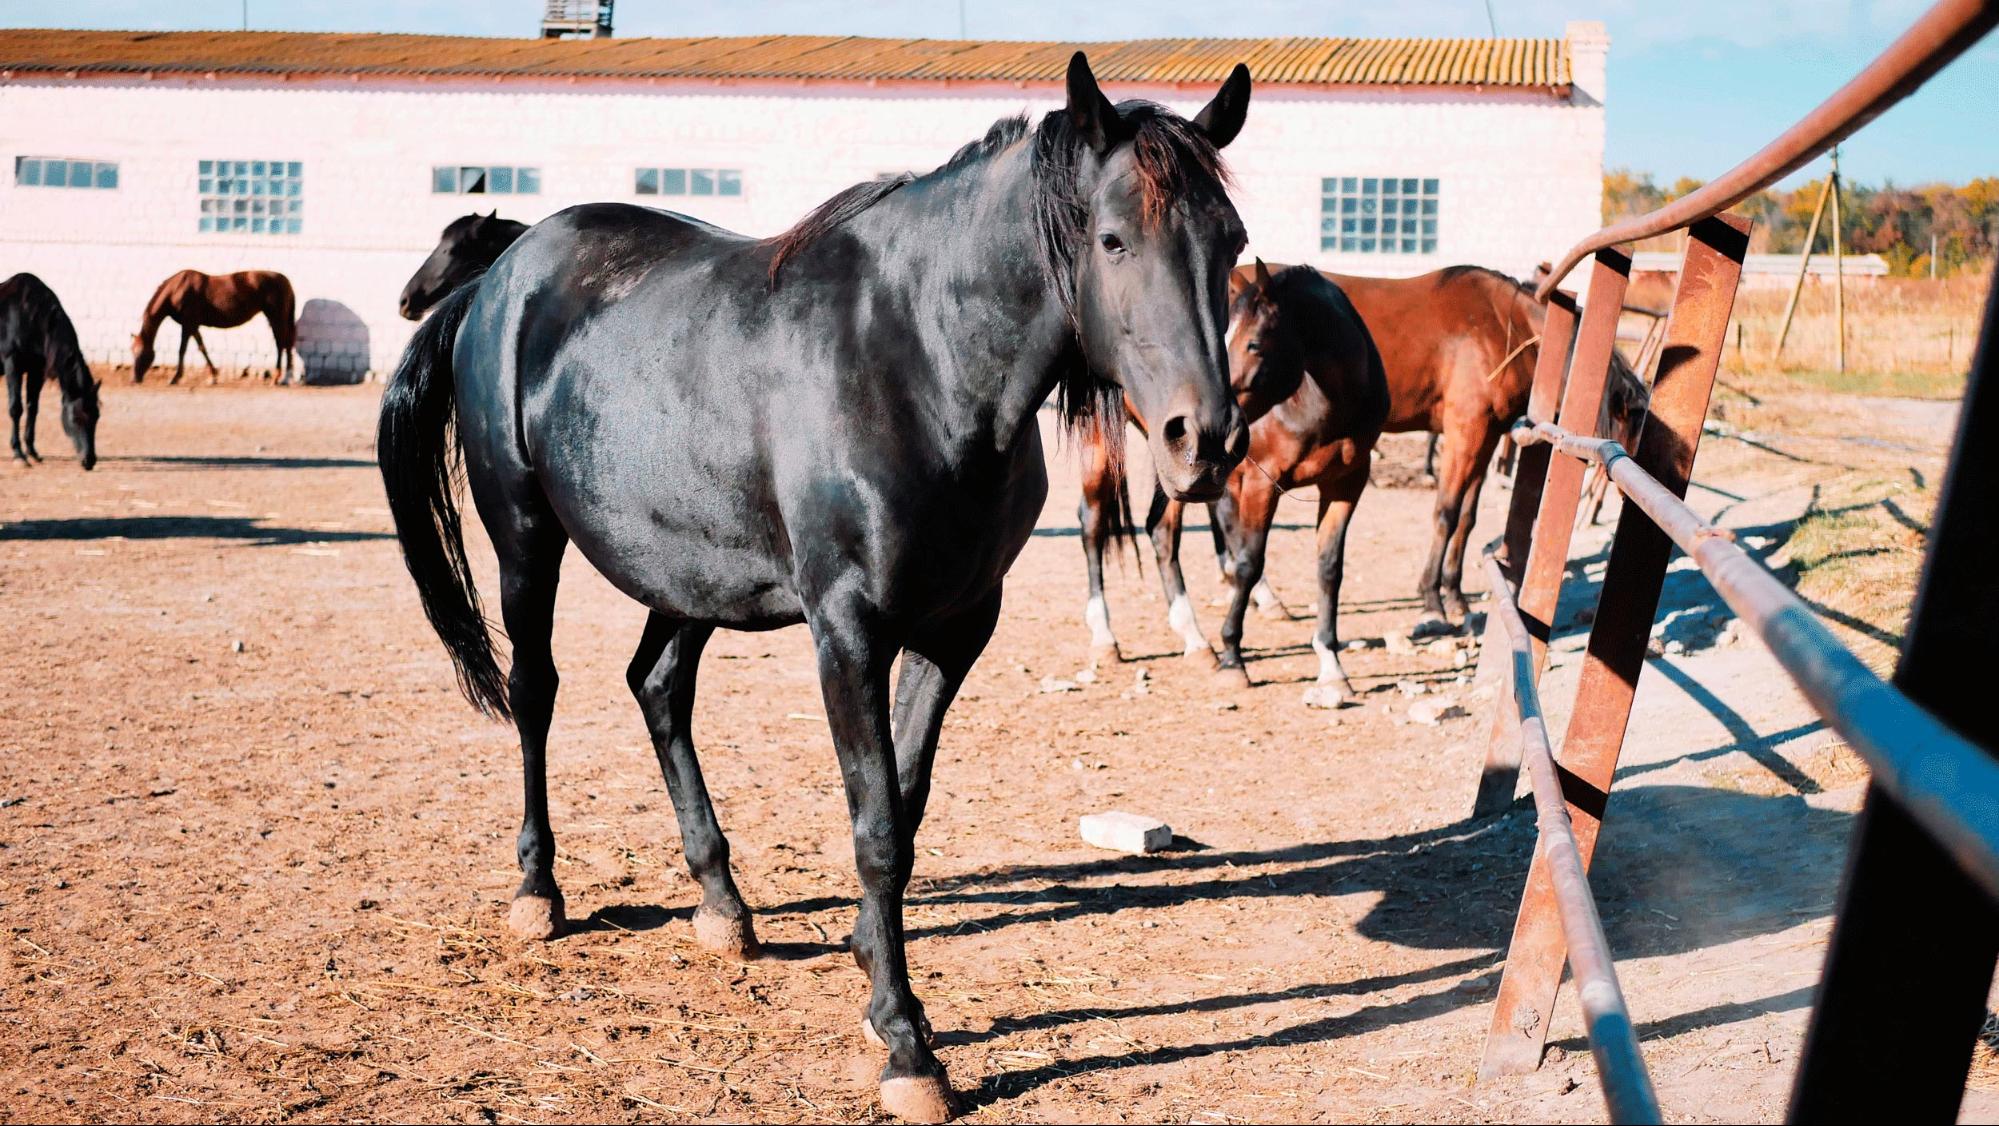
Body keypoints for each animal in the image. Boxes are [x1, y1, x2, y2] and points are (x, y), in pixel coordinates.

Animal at [0, 274, 100, 472]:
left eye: (97, 416)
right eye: (75, 418)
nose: (89, 461)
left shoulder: (37, 370)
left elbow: (33, 408)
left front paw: (32, 452)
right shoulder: (12, 364)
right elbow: (16, 408)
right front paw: (18, 455)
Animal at [132, 270, 293, 386]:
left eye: (140, 353)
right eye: (132, 351)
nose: (134, 379)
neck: (177, 290)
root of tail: (284, 279)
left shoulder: (187, 324)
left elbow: (182, 350)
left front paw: (175, 378)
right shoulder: (193, 326)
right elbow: (202, 347)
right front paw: (213, 376)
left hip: (275, 318)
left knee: (281, 345)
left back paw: (277, 378)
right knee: (287, 345)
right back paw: (286, 378)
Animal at [1079, 262, 1391, 704]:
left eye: (1255, 344)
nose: (1214, 418)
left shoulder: (1347, 485)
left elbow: (1330, 569)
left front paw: (1331, 667)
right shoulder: (1260, 484)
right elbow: (1247, 561)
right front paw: (1233, 657)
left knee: (1161, 530)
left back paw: (1195, 640)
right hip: (1101, 442)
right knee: (1092, 526)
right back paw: (1105, 637)